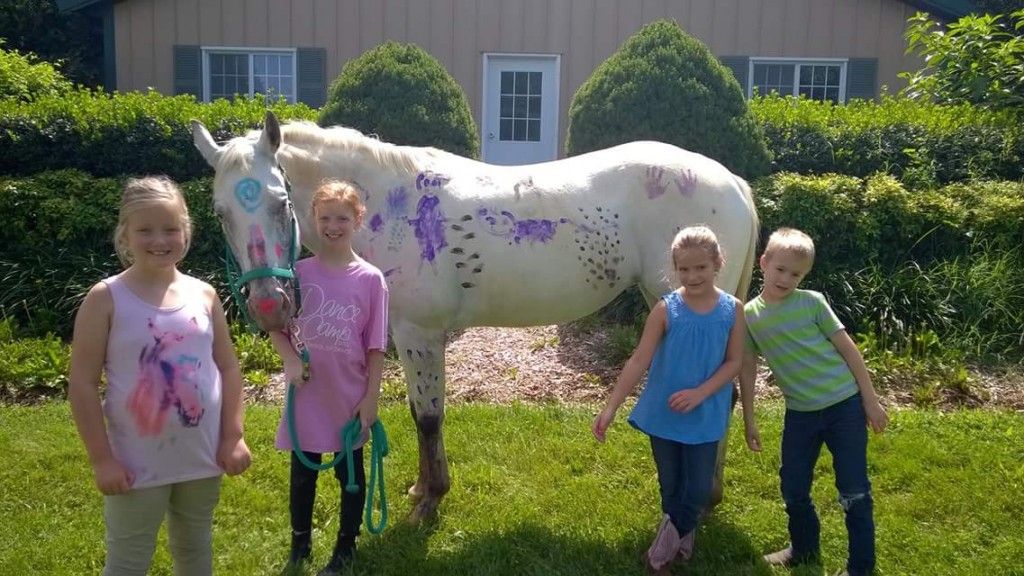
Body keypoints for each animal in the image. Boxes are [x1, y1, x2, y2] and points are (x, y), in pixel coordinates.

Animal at [192, 112, 757, 520]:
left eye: (279, 200)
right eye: (221, 211)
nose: (269, 304)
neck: (389, 205)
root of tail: (732, 182)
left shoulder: (419, 332)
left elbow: (428, 416)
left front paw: (430, 499)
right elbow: (418, 414)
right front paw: (422, 486)